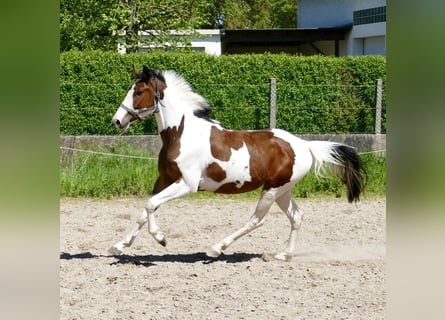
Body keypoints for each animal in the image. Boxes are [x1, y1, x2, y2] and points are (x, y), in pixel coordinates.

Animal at [108, 66, 364, 262]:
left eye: (138, 91)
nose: (117, 121)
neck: (180, 133)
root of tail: (305, 145)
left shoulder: (187, 184)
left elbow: (150, 205)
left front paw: (161, 238)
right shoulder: (164, 179)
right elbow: (145, 210)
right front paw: (118, 246)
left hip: (272, 189)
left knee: (256, 220)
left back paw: (216, 248)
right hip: (283, 191)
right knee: (296, 217)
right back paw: (284, 255)